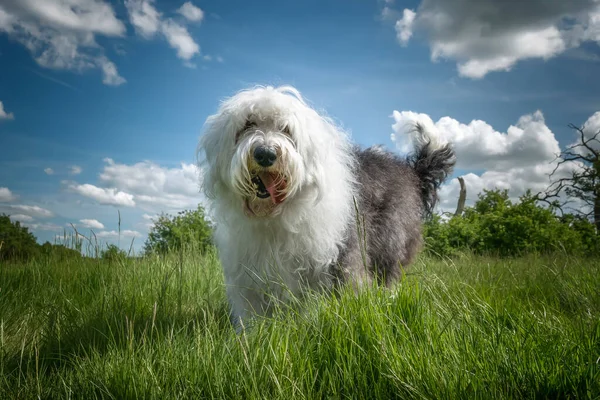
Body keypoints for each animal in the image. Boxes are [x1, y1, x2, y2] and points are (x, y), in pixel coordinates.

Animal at [197, 85, 454, 328]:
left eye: (286, 129)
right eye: (248, 124)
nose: (265, 154)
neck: (276, 215)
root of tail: (411, 172)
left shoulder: (335, 259)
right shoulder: (247, 271)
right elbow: (251, 311)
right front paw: (250, 336)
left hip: (389, 241)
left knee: (388, 276)